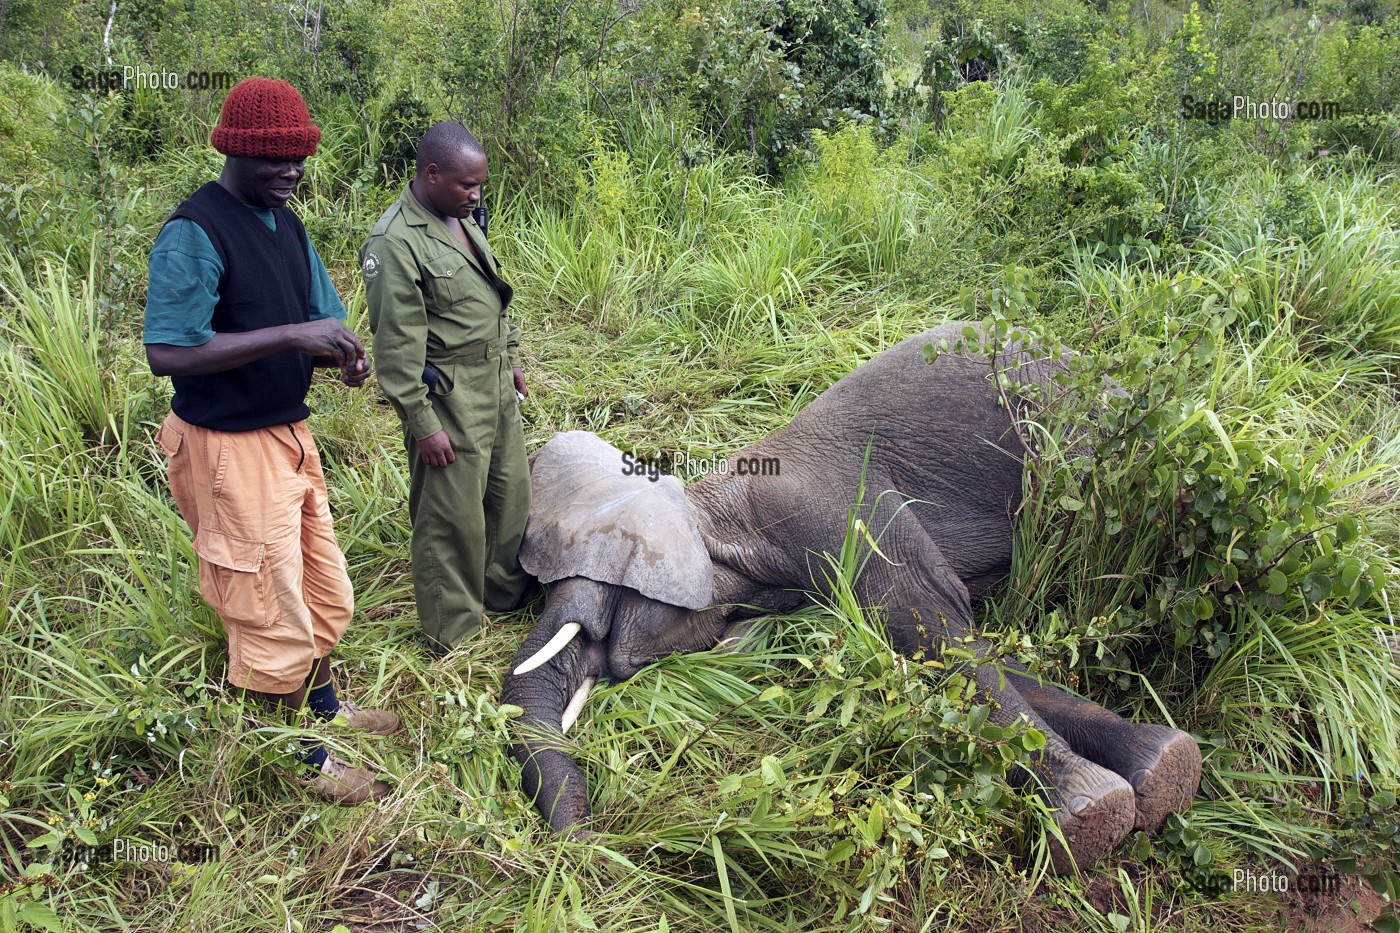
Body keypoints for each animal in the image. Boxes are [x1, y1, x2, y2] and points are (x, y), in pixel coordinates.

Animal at [502, 321, 1202, 871]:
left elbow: (932, 621)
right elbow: (947, 647)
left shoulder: (836, 512)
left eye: (604, 607)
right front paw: (1162, 769)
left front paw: (1095, 815)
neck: (719, 505)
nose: (588, 846)